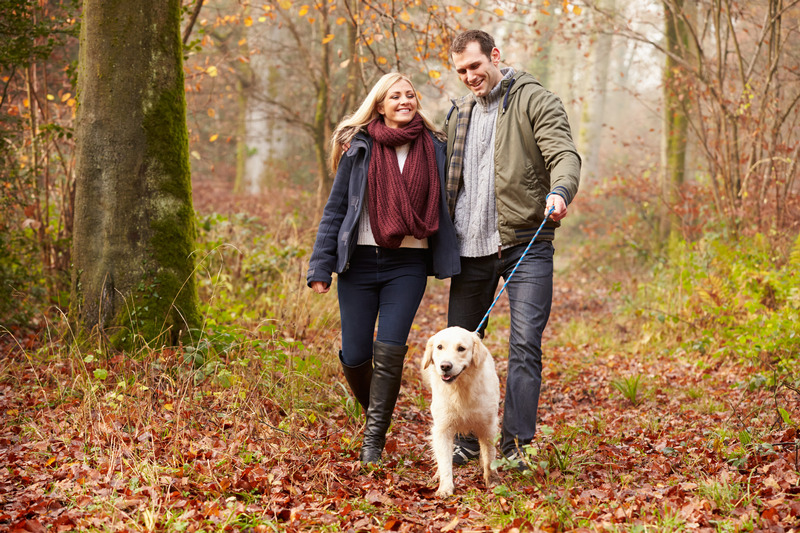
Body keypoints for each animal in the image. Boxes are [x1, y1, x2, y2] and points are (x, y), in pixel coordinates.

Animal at [418, 326, 500, 496]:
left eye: (461, 348)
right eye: (439, 347)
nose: (445, 366)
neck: (460, 389)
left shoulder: (488, 425)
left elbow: (489, 456)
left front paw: (492, 480)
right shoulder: (442, 428)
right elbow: (444, 461)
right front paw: (445, 487)